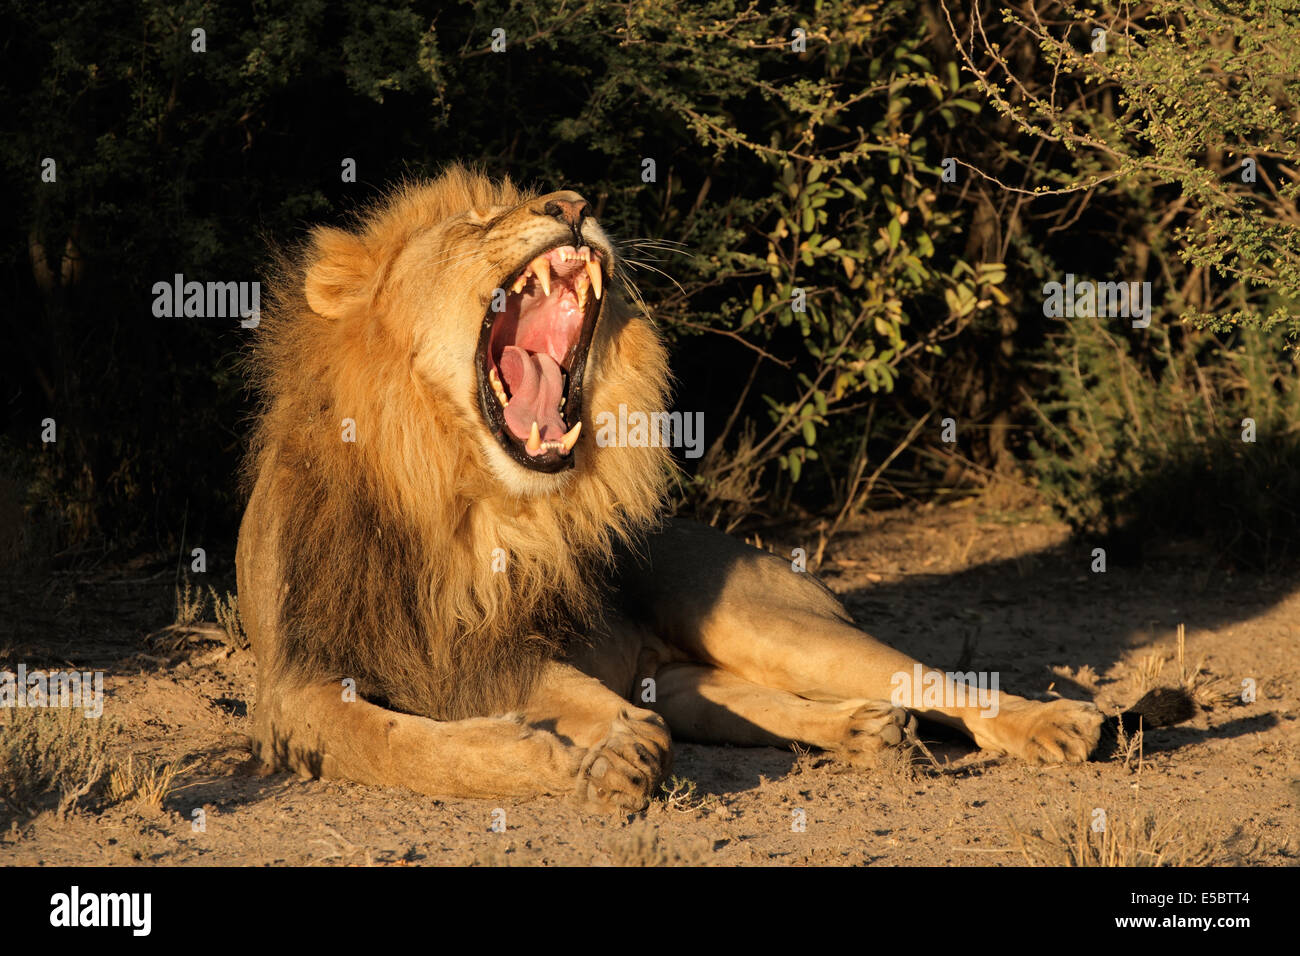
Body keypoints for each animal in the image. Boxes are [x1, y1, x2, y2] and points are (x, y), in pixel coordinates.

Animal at [239, 167, 1112, 811]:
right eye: (474, 222)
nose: (573, 204)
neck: (459, 498)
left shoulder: (509, 649)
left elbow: (577, 702)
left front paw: (612, 751)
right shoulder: (296, 687)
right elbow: (397, 746)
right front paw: (571, 757)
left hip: (761, 622)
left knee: (928, 677)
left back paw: (1057, 723)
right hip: (695, 675)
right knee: (733, 701)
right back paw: (870, 734)